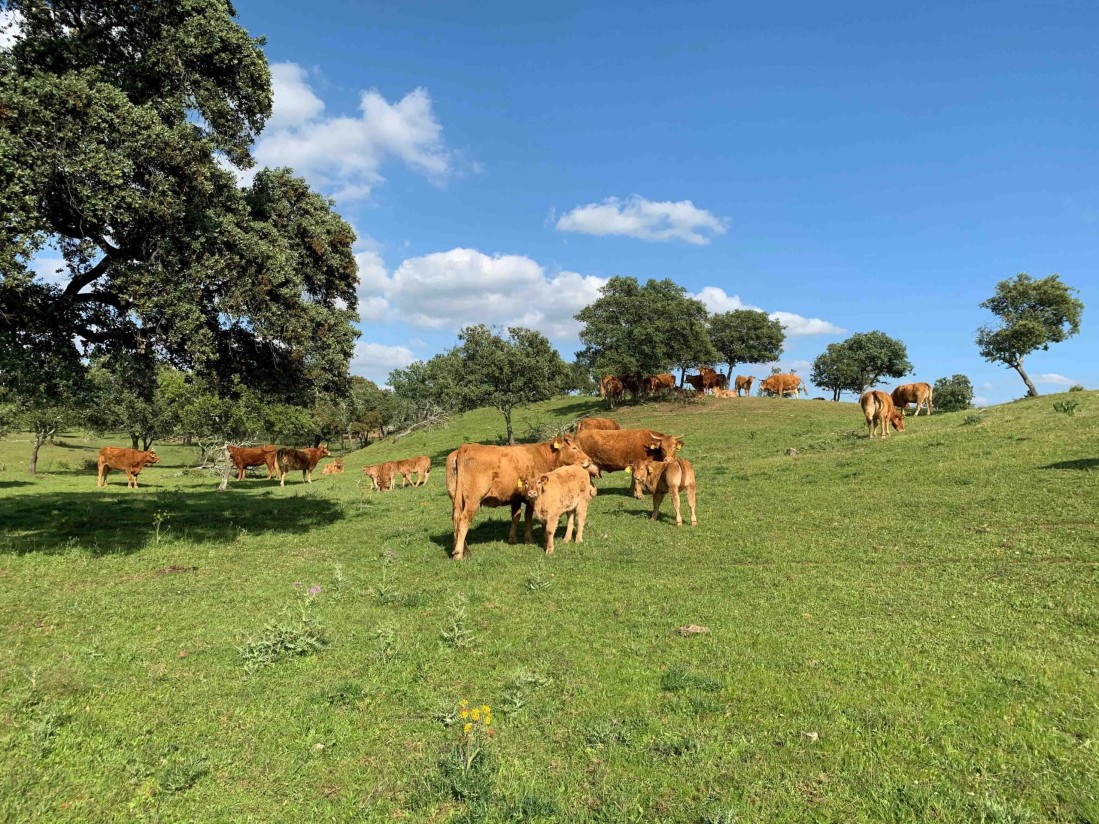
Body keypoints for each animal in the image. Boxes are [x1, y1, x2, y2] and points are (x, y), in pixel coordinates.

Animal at [450, 435, 597, 558]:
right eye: (574, 448)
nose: (589, 460)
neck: (541, 456)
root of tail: (466, 447)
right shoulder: (530, 497)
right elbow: (528, 516)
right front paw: (531, 539)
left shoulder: (516, 498)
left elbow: (516, 516)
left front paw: (512, 538)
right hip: (473, 501)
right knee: (463, 521)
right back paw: (458, 554)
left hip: (457, 500)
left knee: (456, 520)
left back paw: (463, 549)